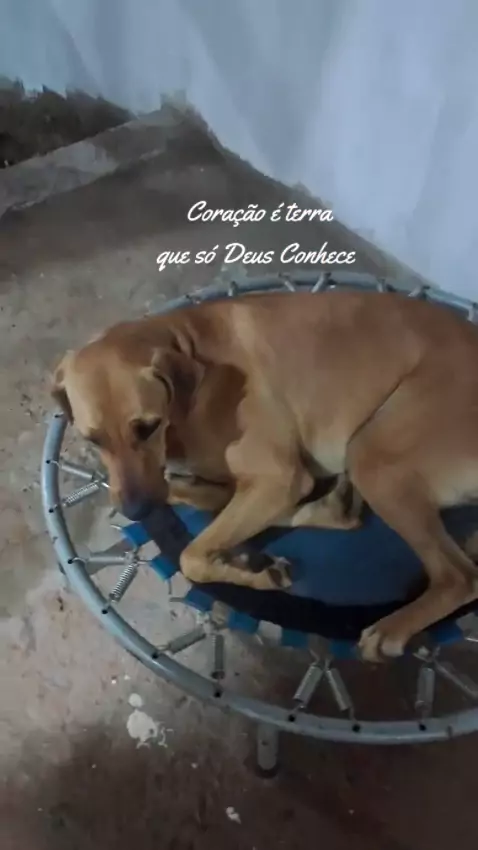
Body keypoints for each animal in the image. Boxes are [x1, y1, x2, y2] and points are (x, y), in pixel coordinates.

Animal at [51, 289, 478, 661]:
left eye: (147, 427)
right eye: (92, 439)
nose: (137, 511)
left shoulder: (279, 478)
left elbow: (191, 556)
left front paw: (245, 567)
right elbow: (191, 500)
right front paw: (246, 560)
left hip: (373, 457)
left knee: (460, 576)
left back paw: (390, 627)